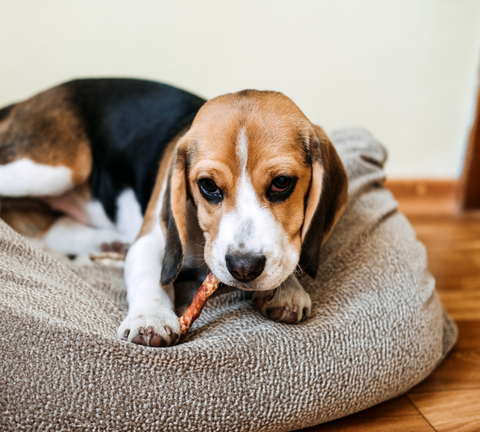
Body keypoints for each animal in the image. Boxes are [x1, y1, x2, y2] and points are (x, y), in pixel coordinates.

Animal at [0, 77, 346, 348]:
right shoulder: (152, 240)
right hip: (52, 170)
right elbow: (149, 275)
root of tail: (26, 101)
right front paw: (149, 318)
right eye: (208, 186)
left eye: (282, 182)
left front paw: (287, 289)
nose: (244, 268)